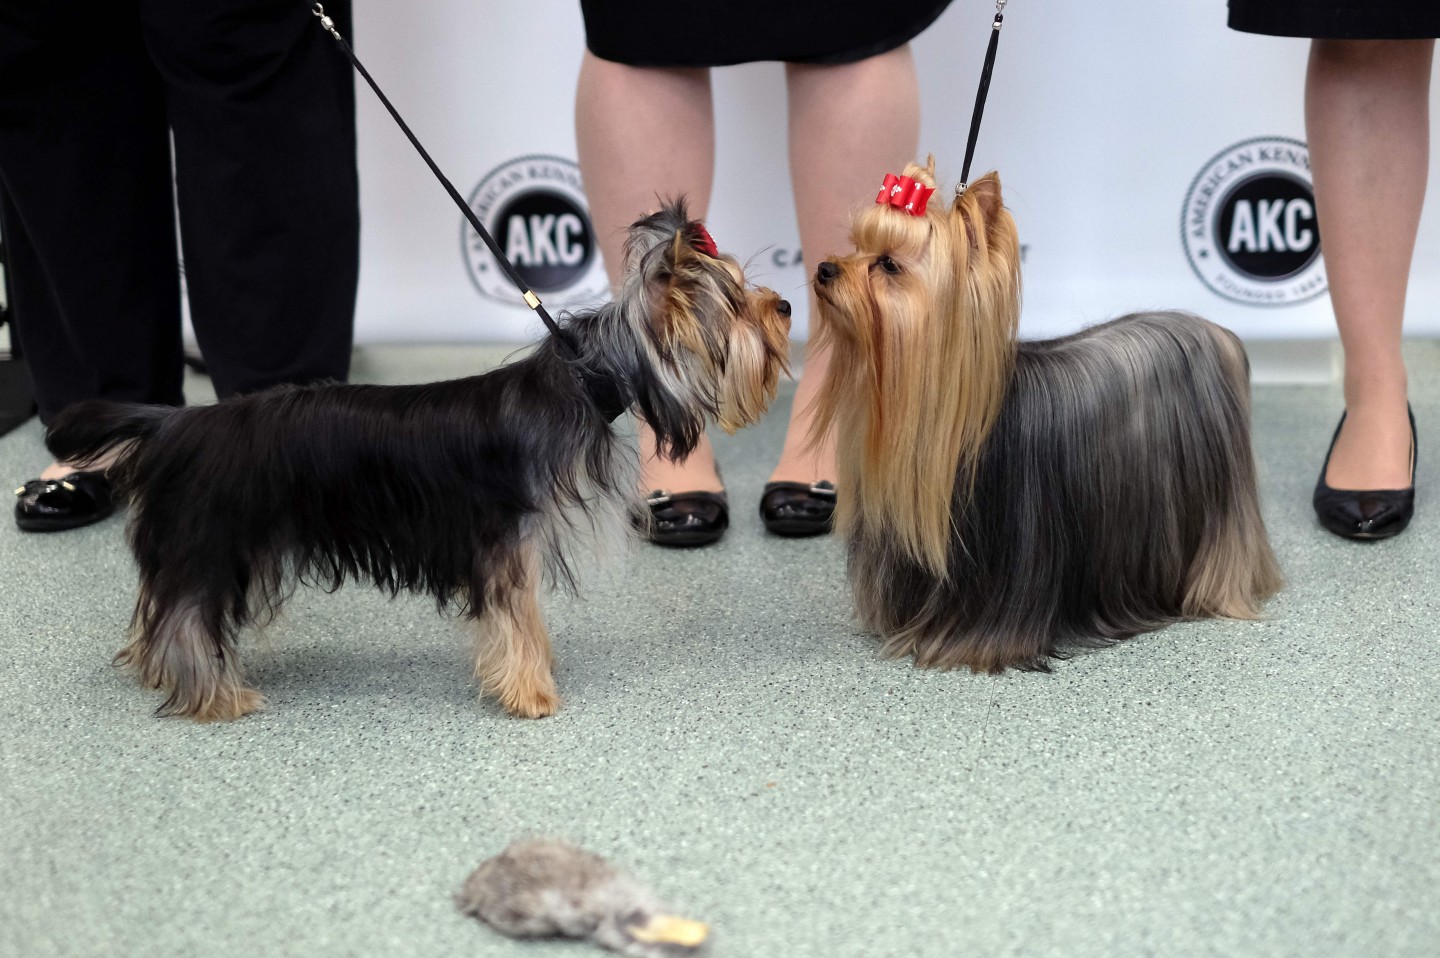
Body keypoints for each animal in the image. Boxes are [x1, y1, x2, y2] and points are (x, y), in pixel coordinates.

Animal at [46, 201, 790, 721]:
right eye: (734, 303)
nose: (784, 304)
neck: (584, 378)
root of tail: (178, 421)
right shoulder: (503, 545)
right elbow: (517, 620)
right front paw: (531, 694)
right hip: (213, 543)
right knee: (184, 619)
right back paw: (216, 699)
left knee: (165, 612)